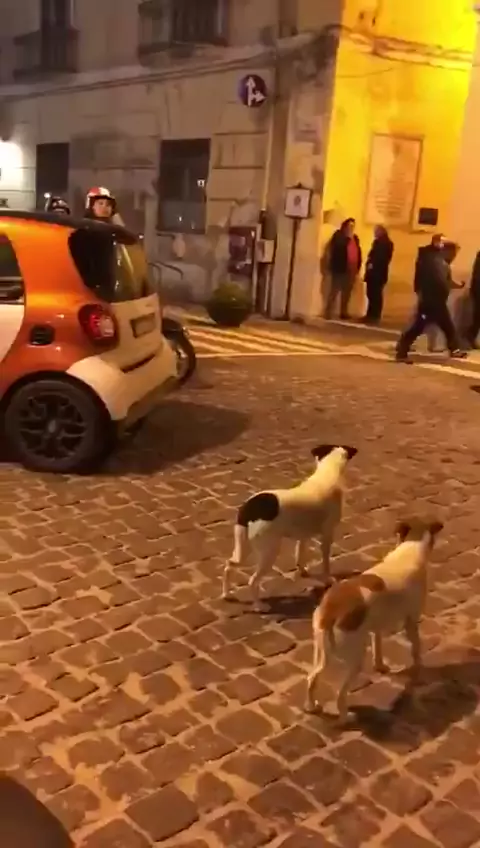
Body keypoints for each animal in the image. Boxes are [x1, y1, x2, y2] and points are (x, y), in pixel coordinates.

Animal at [221, 444, 358, 604]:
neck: (326, 473)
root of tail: (250, 508)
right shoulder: (327, 535)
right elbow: (325, 563)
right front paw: (328, 579)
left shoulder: (303, 536)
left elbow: (300, 555)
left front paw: (303, 571)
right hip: (269, 552)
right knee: (252, 581)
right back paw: (259, 605)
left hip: (243, 548)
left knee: (229, 565)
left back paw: (226, 594)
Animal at [305, 516, 443, 723]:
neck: (409, 549)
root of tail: (331, 611)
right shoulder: (411, 621)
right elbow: (416, 649)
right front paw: (419, 668)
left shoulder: (375, 627)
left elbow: (378, 648)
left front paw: (381, 667)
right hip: (354, 659)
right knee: (340, 694)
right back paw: (346, 717)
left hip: (323, 653)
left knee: (312, 678)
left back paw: (312, 707)